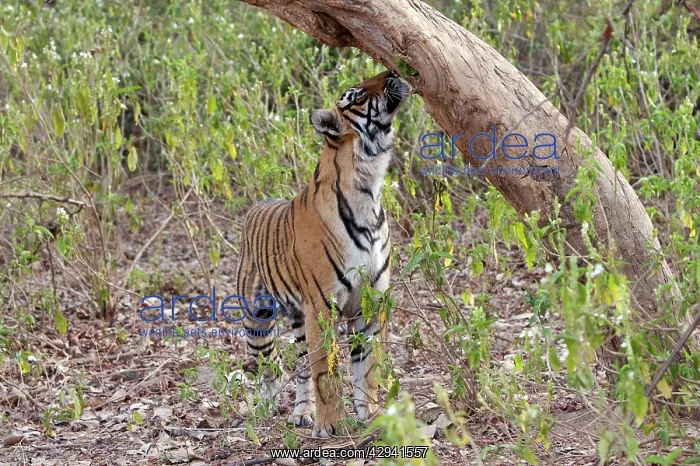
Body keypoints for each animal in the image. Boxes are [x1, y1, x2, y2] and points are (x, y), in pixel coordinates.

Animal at [235, 70, 410, 437]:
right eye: (357, 94)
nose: (391, 71)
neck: (368, 184)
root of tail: (257, 205)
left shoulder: (371, 301)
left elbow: (367, 368)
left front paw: (372, 416)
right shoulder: (322, 306)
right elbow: (326, 371)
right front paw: (330, 425)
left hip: (297, 317)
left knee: (300, 365)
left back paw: (302, 412)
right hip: (258, 320)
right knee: (270, 369)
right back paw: (267, 410)